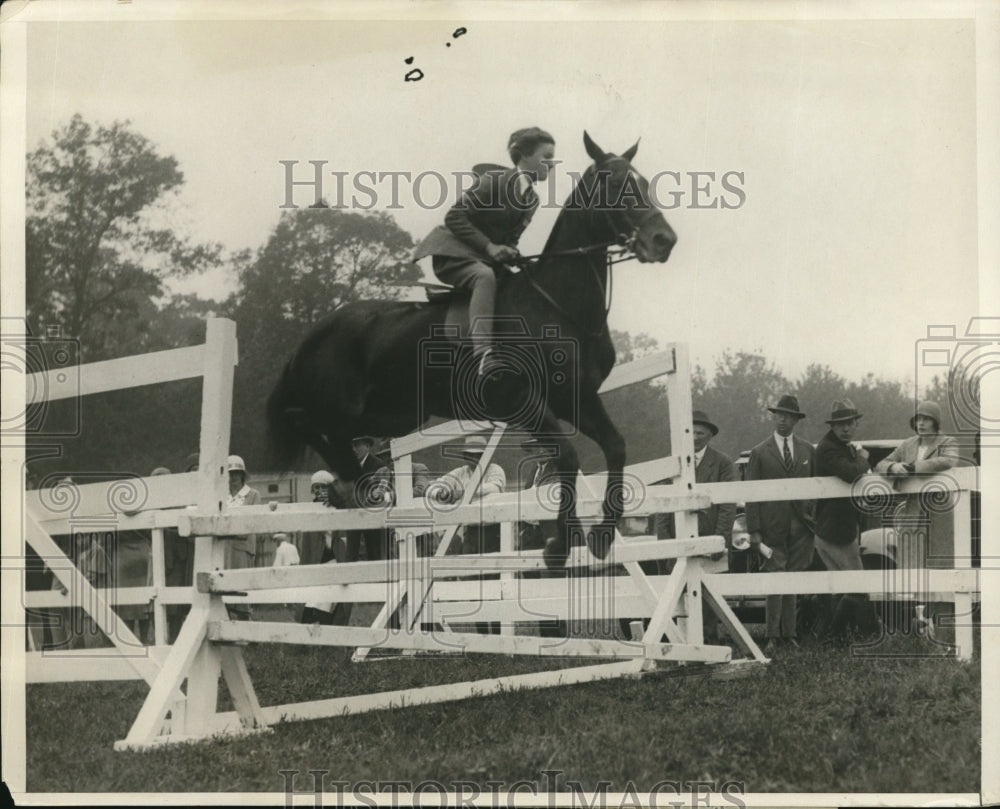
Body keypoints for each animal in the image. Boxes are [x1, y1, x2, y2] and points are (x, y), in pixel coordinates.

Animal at [262, 129, 676, 564]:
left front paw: (600, 536)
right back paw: (353, 482)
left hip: (394, 414)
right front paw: (560, 545)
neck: (555, 304)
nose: (664, 240)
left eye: (645, 183)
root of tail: (316, 332)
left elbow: (614, 447)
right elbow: (568, 456)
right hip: (341, 407)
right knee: (302, 420)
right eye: (614, 185)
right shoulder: (523, 400)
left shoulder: (577, 397)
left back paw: (355, 484)